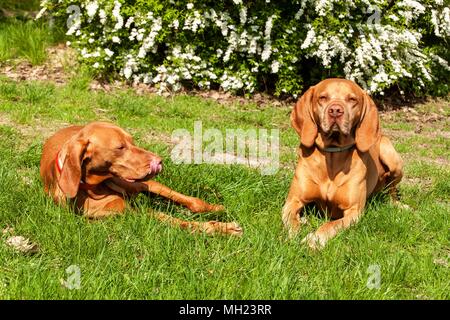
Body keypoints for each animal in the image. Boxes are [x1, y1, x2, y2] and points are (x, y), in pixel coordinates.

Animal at [39, 121, 243, 236]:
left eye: (132, 141)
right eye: (120, 147)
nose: (159, 161)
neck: (94, 188)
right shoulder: (132, 214)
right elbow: (180, 222)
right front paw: (220, 229)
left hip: (143, 184)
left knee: (192, 201)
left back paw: (214, 208)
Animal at [284, 79, 402, 249]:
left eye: (352, 99)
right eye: (323, 97)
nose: (335, 111)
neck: (332, 154)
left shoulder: (353, 211)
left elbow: (330, 225)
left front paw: (314, 239)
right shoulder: (292, 201)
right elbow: (291, 220)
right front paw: (294, 233)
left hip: (391, 156)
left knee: (391, 191)